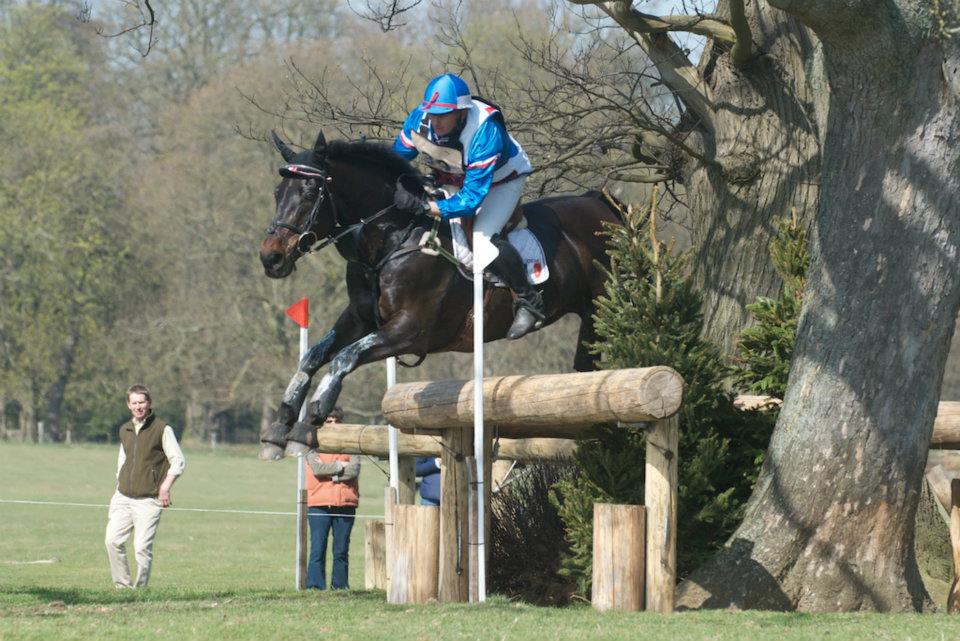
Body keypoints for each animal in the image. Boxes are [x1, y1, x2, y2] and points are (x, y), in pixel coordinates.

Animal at [258, 131, 628, 460]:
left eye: (310, 191)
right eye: (277, 192)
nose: (270, 258)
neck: (393, 239)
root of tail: (600, 204)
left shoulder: (410, 330)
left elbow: (343, 358)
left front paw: (310, 422)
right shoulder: (359, 319)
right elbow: (314, 356)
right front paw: (282, 423)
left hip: (599, 309)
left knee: (591, 365)